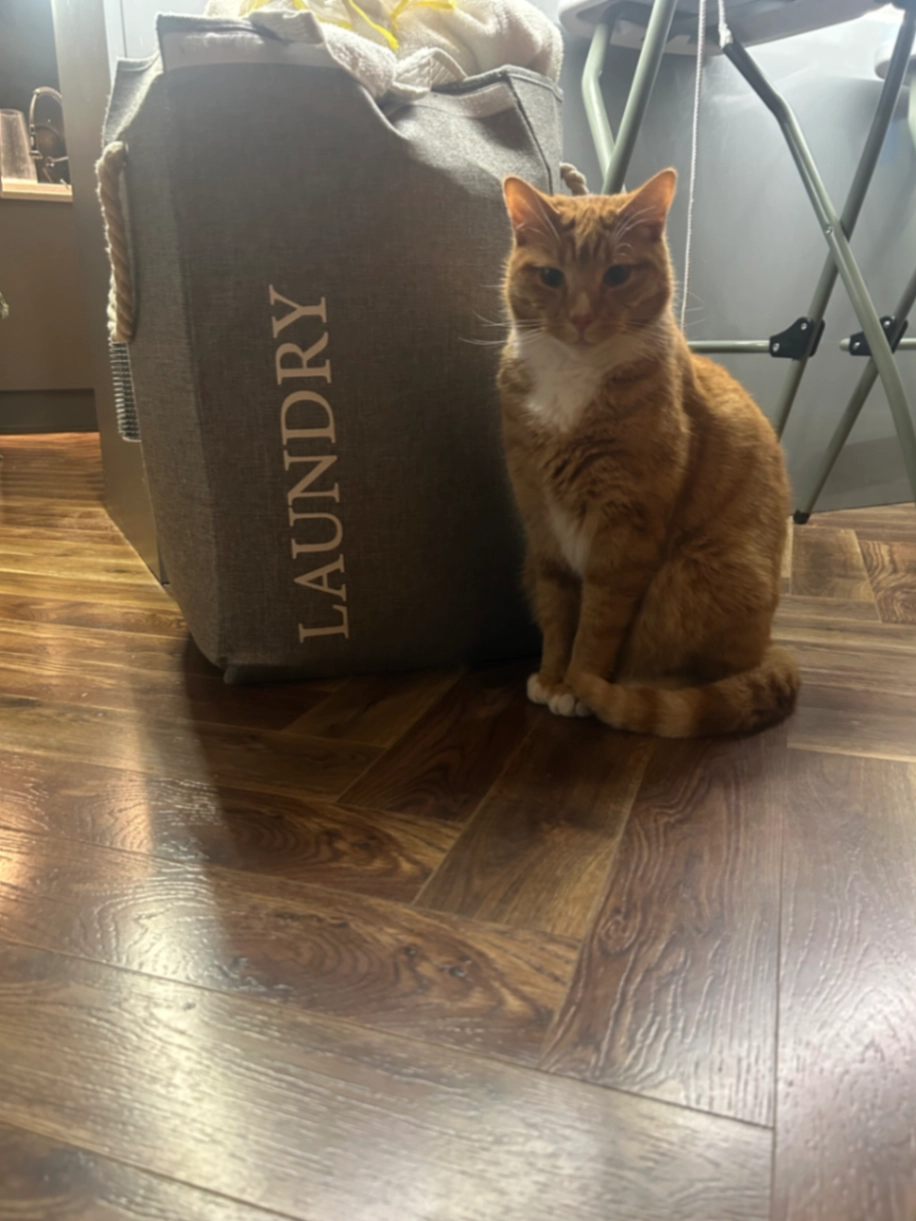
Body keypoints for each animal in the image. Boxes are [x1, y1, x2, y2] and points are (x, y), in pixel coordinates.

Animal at [497, 168, 799, 737]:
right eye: (551, 277)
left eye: (617, 275)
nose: (582, 316)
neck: (572, 376)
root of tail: (771, 647)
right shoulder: (540, 526)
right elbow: (557, 613)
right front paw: (552, 676)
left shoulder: (623, 535)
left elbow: (596, 625)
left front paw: (578, 686)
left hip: (699, 571)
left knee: (697, 675)